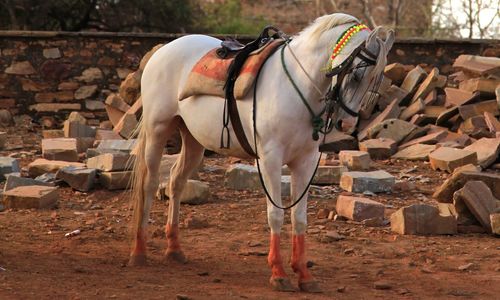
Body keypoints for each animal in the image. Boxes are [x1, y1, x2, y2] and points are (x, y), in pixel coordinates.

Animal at [129, 12, 394, 292]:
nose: (346, 124)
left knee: (176, 183)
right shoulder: (270, 160)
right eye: (356, 74)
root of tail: (163, 50)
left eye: (376, 81)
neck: (297, 87)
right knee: (149, 184)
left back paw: (174, 249)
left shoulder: (306, 162)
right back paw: (139, 252)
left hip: (192, 139)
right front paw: (278, 273)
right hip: (157, 130)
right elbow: (276, 215)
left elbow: (299, 217)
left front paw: (304, 275)